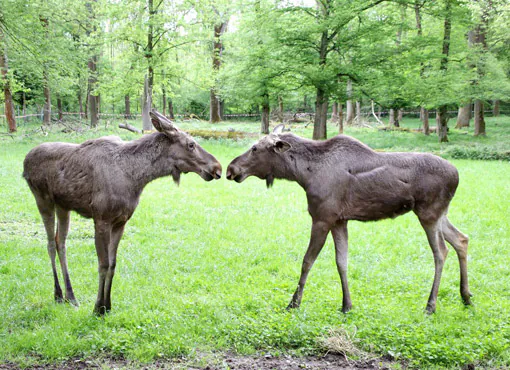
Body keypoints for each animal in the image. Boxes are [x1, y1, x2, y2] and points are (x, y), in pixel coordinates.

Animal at [23, 110, 221, 316]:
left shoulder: (121, 221)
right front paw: (97, 307)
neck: (135, 178)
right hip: (43, 200)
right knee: (49, 244)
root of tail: (25, 160)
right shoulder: (101, 219)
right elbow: (102, 264)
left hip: (63, 206)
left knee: (60, 242)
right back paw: (58, 294)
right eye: (191, 144)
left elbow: (113, 264)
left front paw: (107, 305)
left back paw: (71, 296)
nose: (217, 167)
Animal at [227, 125, 474, 314]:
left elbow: (307, 261)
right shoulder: (340, 220)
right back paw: (466, 296)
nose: (231, 168)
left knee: (441, 252)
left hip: (428, 213)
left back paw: (431, 305)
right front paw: (347, 305)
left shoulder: (322, 217)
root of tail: (457, 176)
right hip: (439, 213)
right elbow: (341, 262)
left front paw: (294, 303)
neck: (303, 175)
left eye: (255, 148)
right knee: (462, 239)